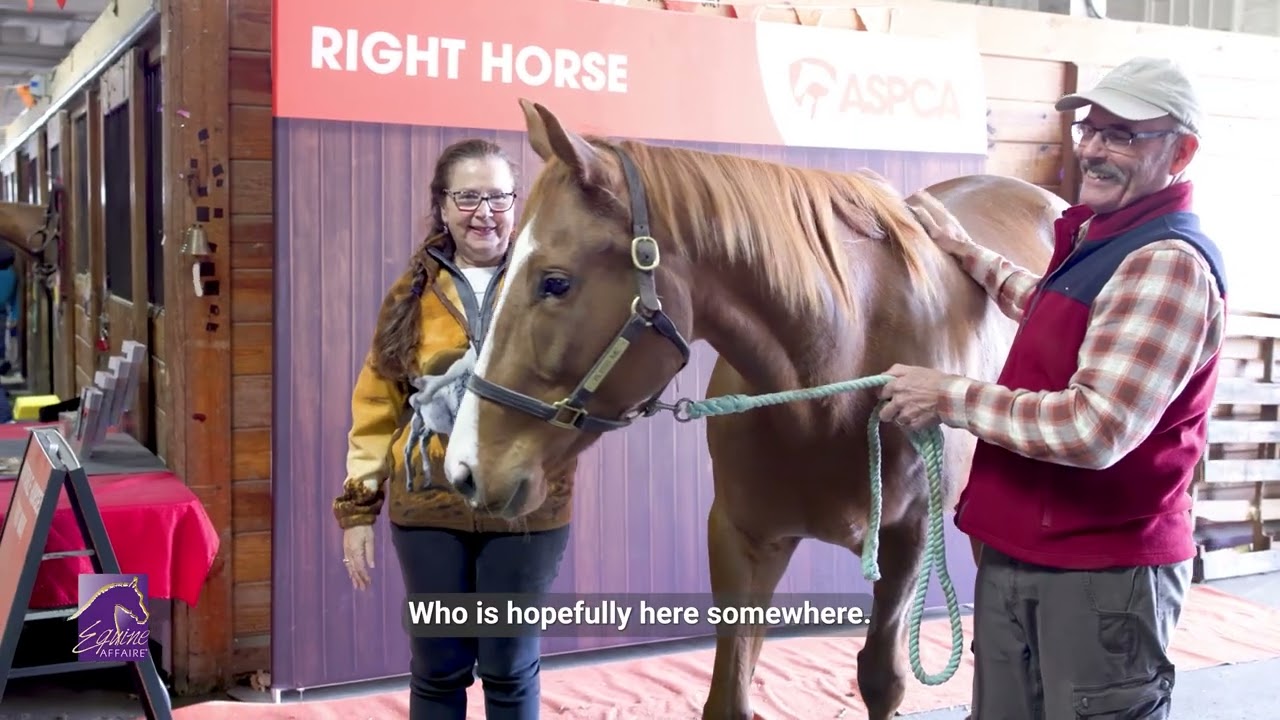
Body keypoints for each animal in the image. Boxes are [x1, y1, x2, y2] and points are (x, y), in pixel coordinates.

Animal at [443, 99, 1065, 720]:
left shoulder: (907, 536)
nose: (464, 469)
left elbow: (881, 678)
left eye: (555, 282)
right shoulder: (742, 536)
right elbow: (729, 695)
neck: (841, 370)